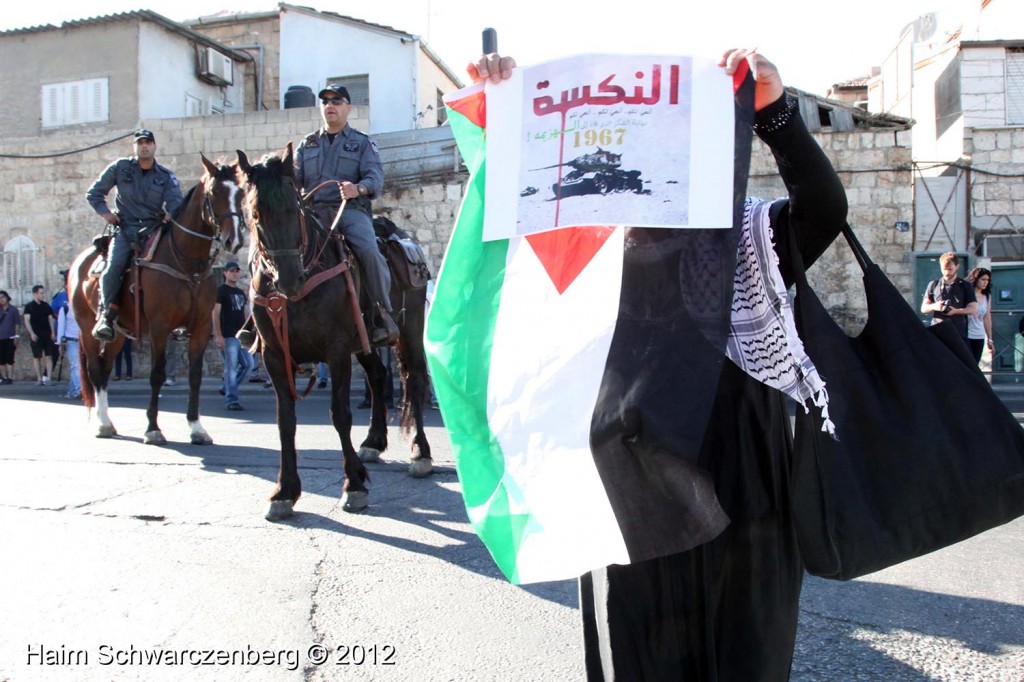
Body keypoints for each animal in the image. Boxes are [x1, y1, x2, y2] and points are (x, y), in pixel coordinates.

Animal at [69, 153, 244, 440]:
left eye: (240, 192)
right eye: (214, 192)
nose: (234, 240)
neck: (187, 262)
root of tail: (79, 263)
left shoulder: (201, 327)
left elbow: (195, 376)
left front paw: (196, 427)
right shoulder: (159, 328)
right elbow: (157, 374)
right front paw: (153, 428)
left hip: (120, 333)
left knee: (105, 369)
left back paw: (108, 421)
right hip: (87, 329)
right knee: (95, 369)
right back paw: (103, 423)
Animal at [235, 140, 432, 518]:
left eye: (294, 209)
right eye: (255, 214)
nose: (289, 280)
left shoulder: (336, 349)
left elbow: (339, 414)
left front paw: (353, 485)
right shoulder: (274, 355)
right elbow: (285, 420)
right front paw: (284, 492)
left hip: (409, 329)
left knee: (413, 378)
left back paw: (421, 453)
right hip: (365, 341)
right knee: (378, 375)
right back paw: (373, 442)